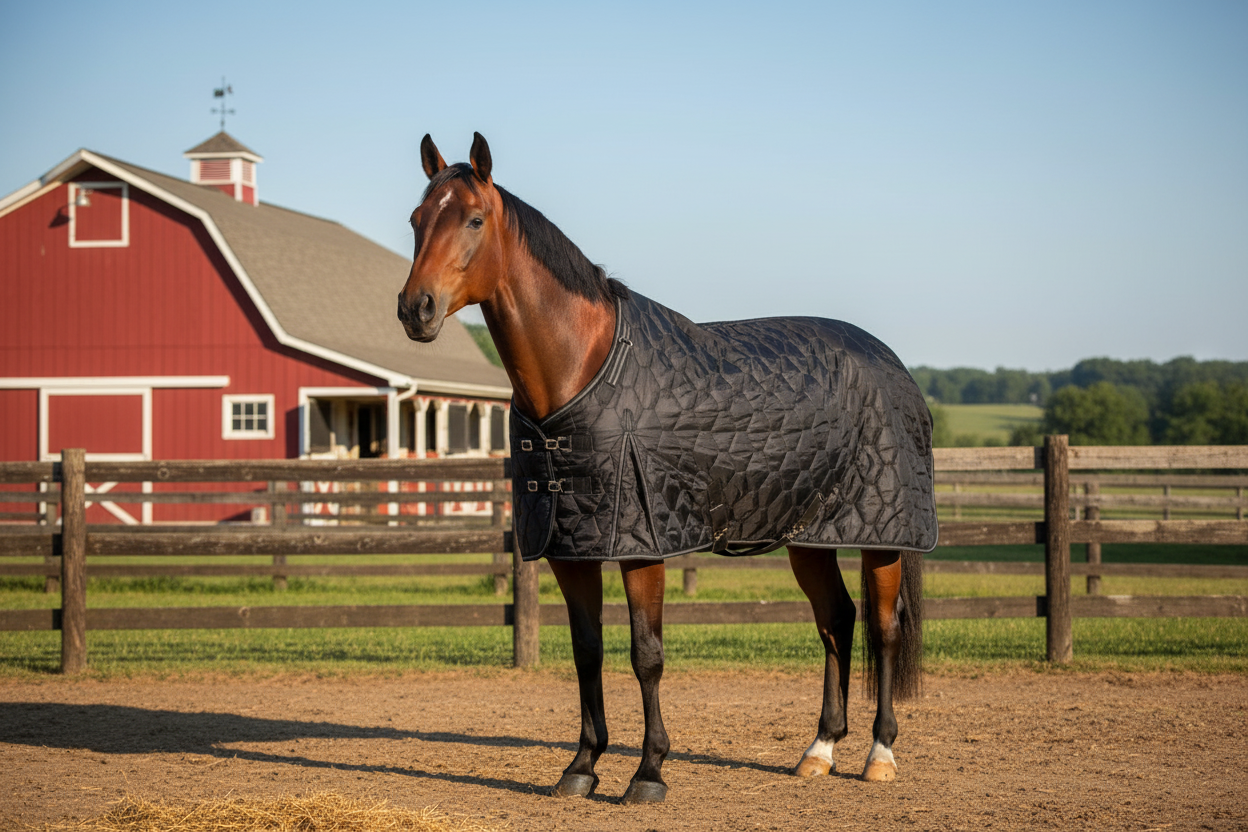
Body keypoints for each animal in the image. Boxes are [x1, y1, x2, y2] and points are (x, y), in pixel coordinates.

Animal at [397, 133, 935, 805]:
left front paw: (648, 772)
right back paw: (820, 750)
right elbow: (588, 651)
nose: (415, 309)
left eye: (473, 219)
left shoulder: (641, 544)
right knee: (836, 621)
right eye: (416, 220)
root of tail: (891, 364)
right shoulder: (572, 545)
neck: (586, 366)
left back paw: (879, 753)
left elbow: (645, 654)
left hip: (881, 533)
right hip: (808, 536)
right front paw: (581, 766)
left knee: (884, 630)